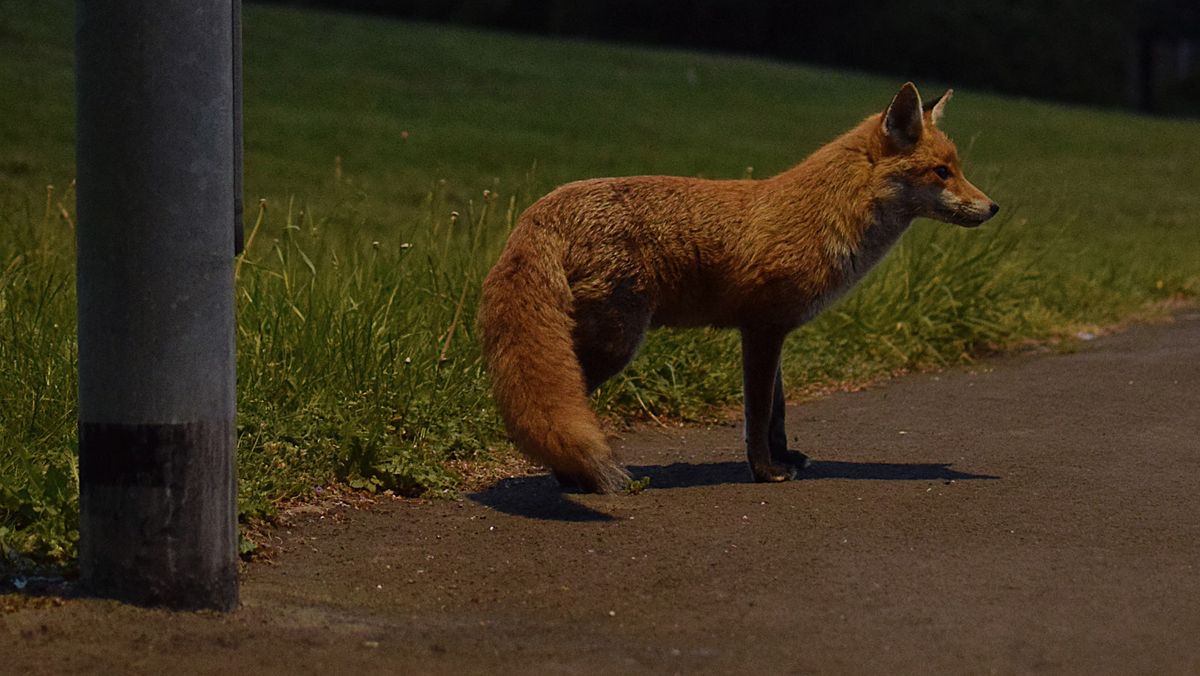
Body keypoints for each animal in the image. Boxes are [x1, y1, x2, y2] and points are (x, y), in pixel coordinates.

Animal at [475, 83, 993, 492]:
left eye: (958, 168)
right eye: (942, 172)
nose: (993, 208)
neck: (825, 216)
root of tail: (543, 208)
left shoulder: (775, 332)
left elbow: (778, 415)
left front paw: (785, 459)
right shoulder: (761, 329)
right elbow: (759, 415)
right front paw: (765, 472)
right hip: (615, 343)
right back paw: (574, 476)